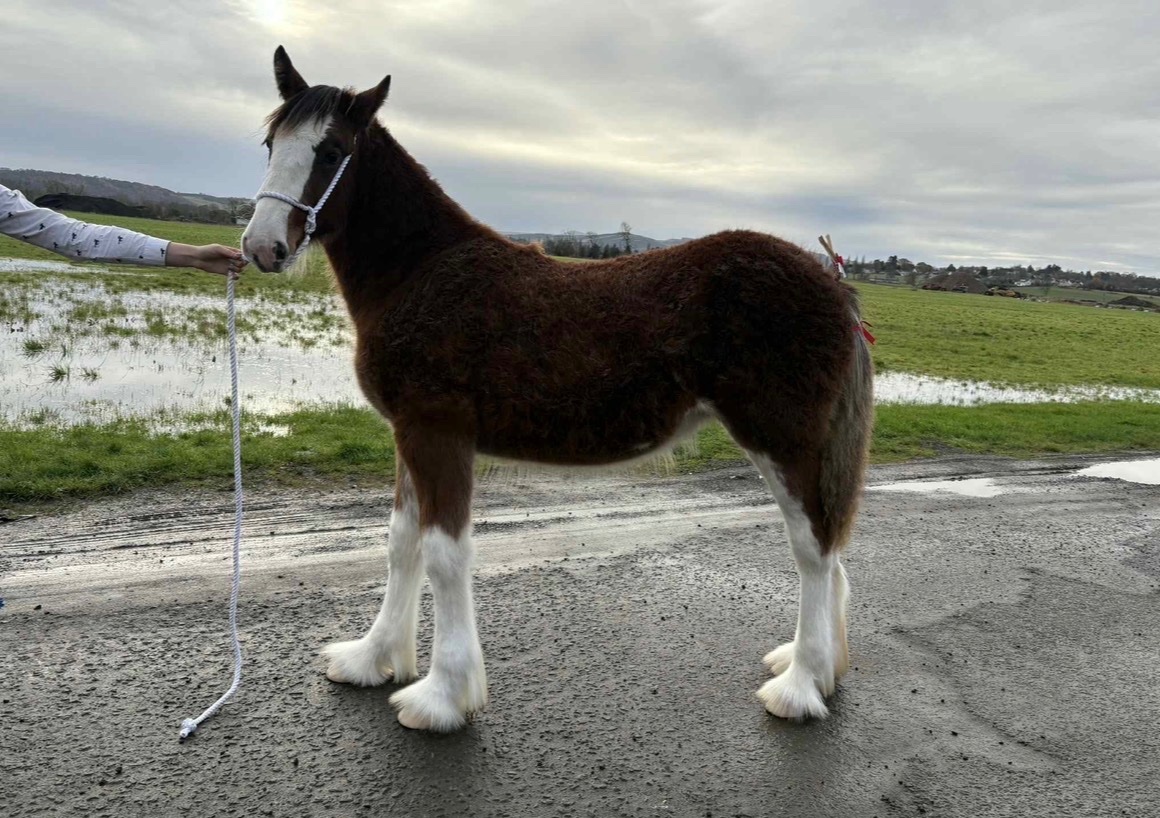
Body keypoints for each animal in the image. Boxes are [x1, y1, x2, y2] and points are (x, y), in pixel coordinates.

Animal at [242, 46, 874, 732]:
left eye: (330, 151)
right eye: (270, 143)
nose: (261, 247)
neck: (420, 272)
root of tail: (831, 283)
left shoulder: (438, 435)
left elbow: (443, 555)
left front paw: (441, 697)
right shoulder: (409, 437)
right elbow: (400, 544)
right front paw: (371, 658)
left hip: (783, 441)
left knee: (813, 550)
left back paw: (800, 685)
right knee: (829, 550)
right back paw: (815, 665)